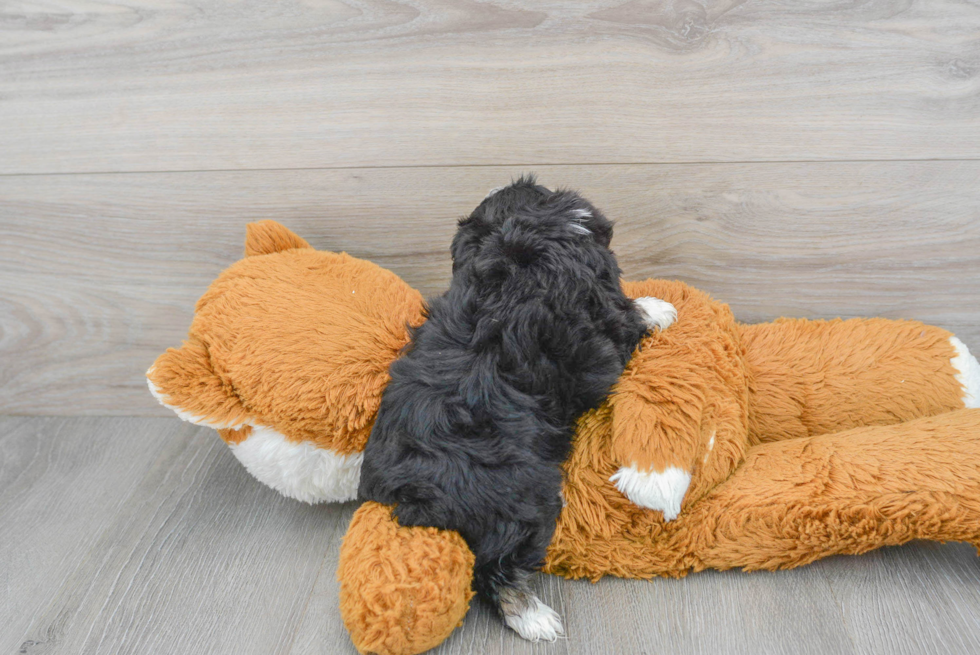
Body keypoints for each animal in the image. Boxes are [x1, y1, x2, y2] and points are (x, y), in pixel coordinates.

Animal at [358, 176, 668, 640]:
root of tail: (412, 491)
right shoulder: (603, 330)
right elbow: (628, 316)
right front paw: (658, 308)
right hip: (524, 500)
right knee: (494, 568)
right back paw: (536, 618)